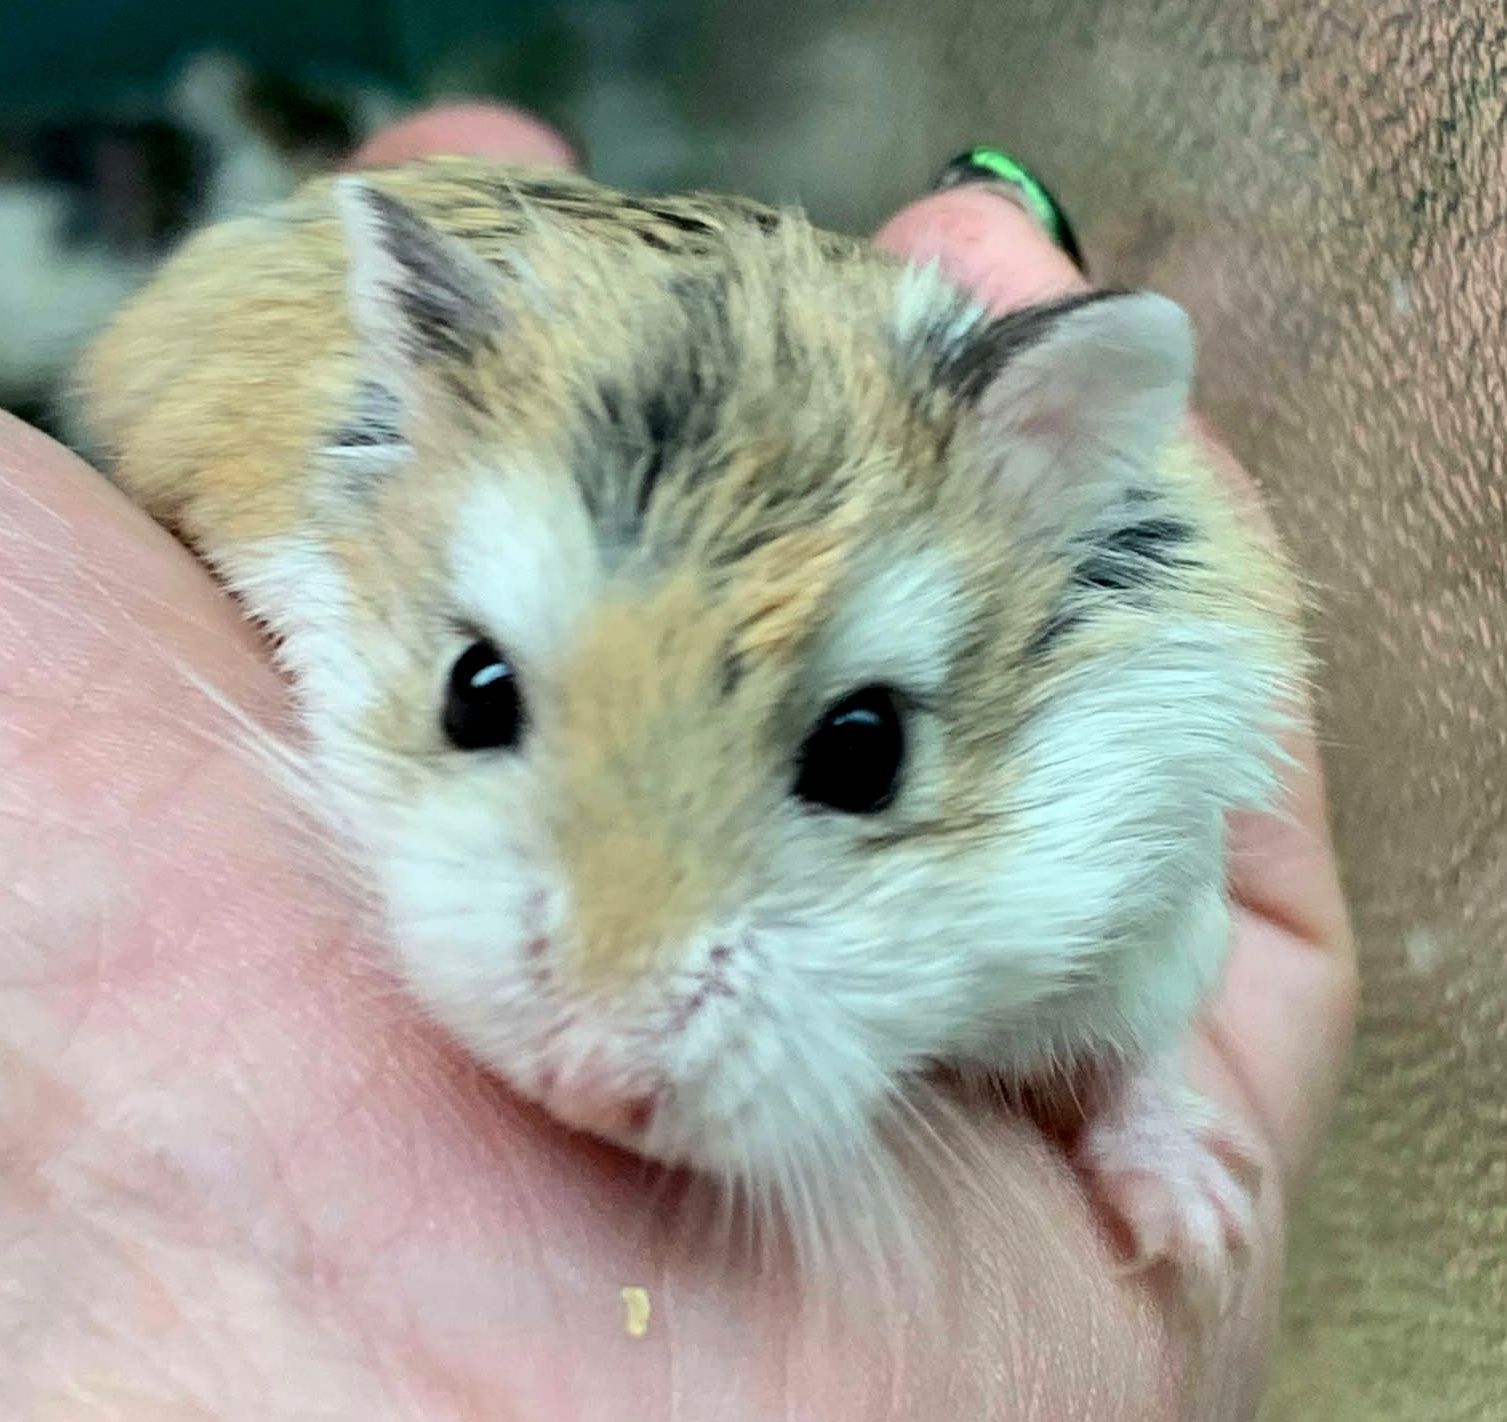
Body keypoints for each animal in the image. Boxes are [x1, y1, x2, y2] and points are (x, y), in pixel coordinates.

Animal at [78, 156, 1301, 1304]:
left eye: (866, 751)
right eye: (473, 691)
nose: (586, 1087)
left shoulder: (1155, 891)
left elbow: (1137, 1058)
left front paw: (1202, 1243)